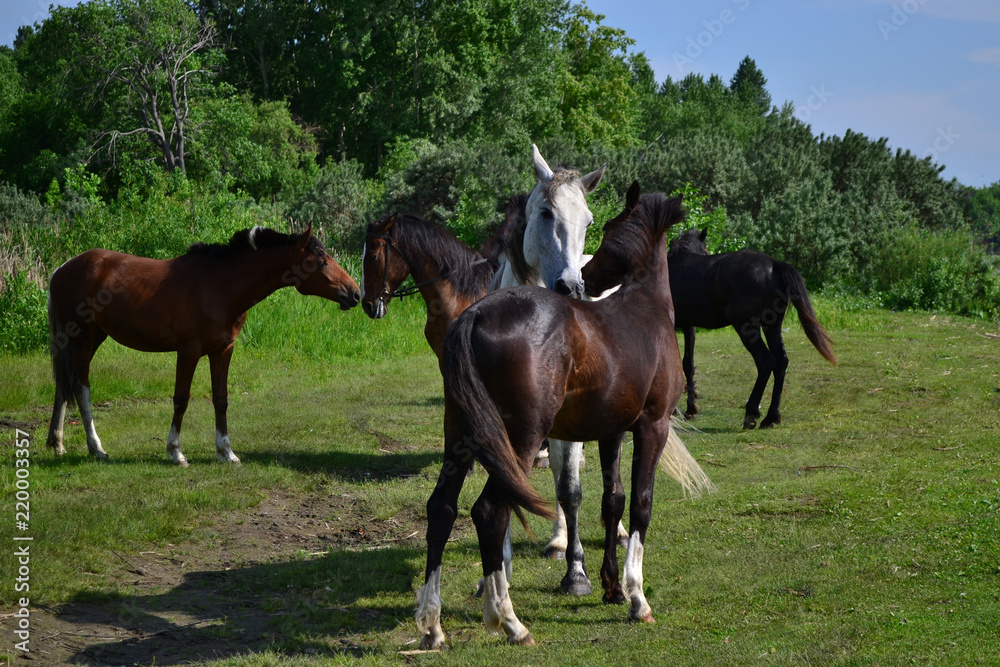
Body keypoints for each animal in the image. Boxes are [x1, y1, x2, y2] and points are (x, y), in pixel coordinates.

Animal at [47, 227, 362, 468]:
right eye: (320, 262)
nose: (355, 293)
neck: (221, 285)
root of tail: (62, 269)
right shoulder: (188, 351)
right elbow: (181, 399)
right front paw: (175, 452)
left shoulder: (222, 350)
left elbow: (221, 398)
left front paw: (226, 452)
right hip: (83, 338)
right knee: (81, 388)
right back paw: (96, 448)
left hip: (91, 338)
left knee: (63, 386)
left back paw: (57, 443)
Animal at [414, 181, 712, 648]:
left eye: (600, 226)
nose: (586, 281)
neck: (645, 308)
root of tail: (476, 314)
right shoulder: (652, 426)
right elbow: (641, 504)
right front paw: (636, 597)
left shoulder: (612, 431)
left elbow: (614, 500)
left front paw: (610, 585)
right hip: (520, 438)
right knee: (490, 512)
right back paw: (509, 621)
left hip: (461, 434)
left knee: (442, 508)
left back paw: (433, 624)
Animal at [668, 228, 840, 428]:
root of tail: (774, 264)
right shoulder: (689, 326)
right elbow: (687, 363)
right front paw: (690, 408)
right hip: (772, 326)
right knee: (781, 361)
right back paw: (772, 417)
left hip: (747, 328)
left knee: (766, 361)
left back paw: (751, 412)